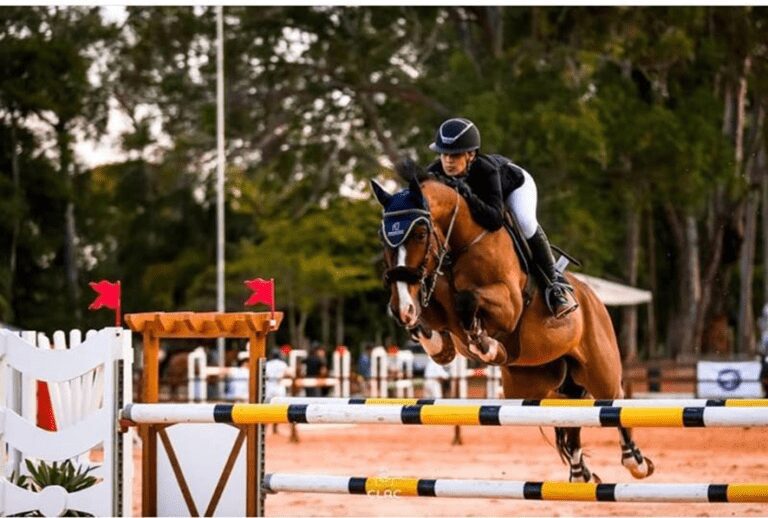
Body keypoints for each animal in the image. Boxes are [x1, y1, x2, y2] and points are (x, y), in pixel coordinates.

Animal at [371, 166, 654, 483]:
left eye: (420, 233)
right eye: (383, 238)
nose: (401, 307)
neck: (459, 246)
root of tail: (592, 297)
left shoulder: (508, 304)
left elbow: (467, 301)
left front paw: (486, 346)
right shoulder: (434, 303)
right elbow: (431, 321)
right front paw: (437, 342)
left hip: (598, 368)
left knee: (614, 401)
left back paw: (635, 461)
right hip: (536, 386)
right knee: (568, 415)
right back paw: (580, 473)